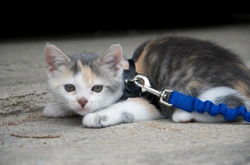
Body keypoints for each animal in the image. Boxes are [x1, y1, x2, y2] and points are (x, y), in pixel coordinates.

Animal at [43, 36, 250, 127]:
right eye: (69, 87)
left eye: (97, 88)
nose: (82, 101)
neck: (127, 77)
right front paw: (57, 107)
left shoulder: (148, 102)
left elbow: (126, 108)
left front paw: (98, 116)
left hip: (193, 85)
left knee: (232, 108)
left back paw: (183, 114)